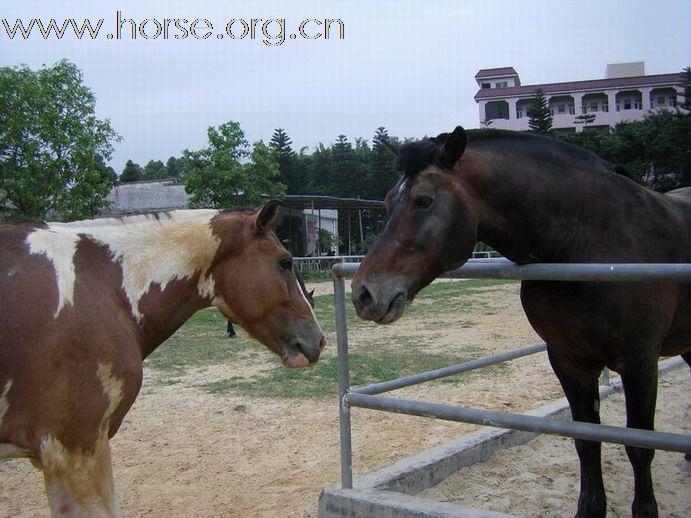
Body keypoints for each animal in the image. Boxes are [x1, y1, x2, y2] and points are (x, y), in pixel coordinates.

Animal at [354, 127, 688, 518]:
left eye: (423, 201)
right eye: (388, 202)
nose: (363, 293)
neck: (592, 242)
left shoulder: (640, 364)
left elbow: (640, 446)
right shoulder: (568, 362)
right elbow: (587, 441)